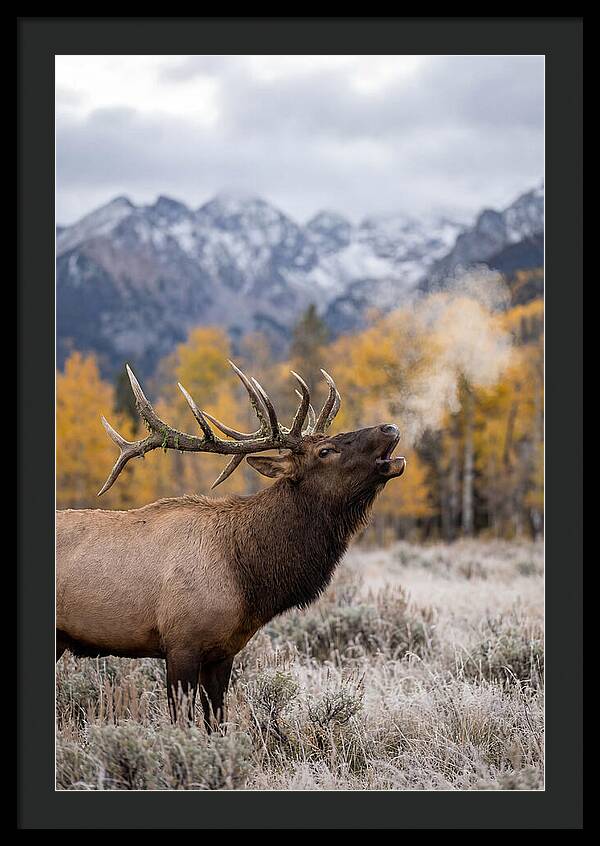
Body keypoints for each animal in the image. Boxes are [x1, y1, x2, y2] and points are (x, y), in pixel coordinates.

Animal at [56, 361, 406, 730]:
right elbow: (182, 722)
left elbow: (217, 722)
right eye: (325, 451)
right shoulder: (181, 643)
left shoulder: (224, 652)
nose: (389, 427)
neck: (247, 578)